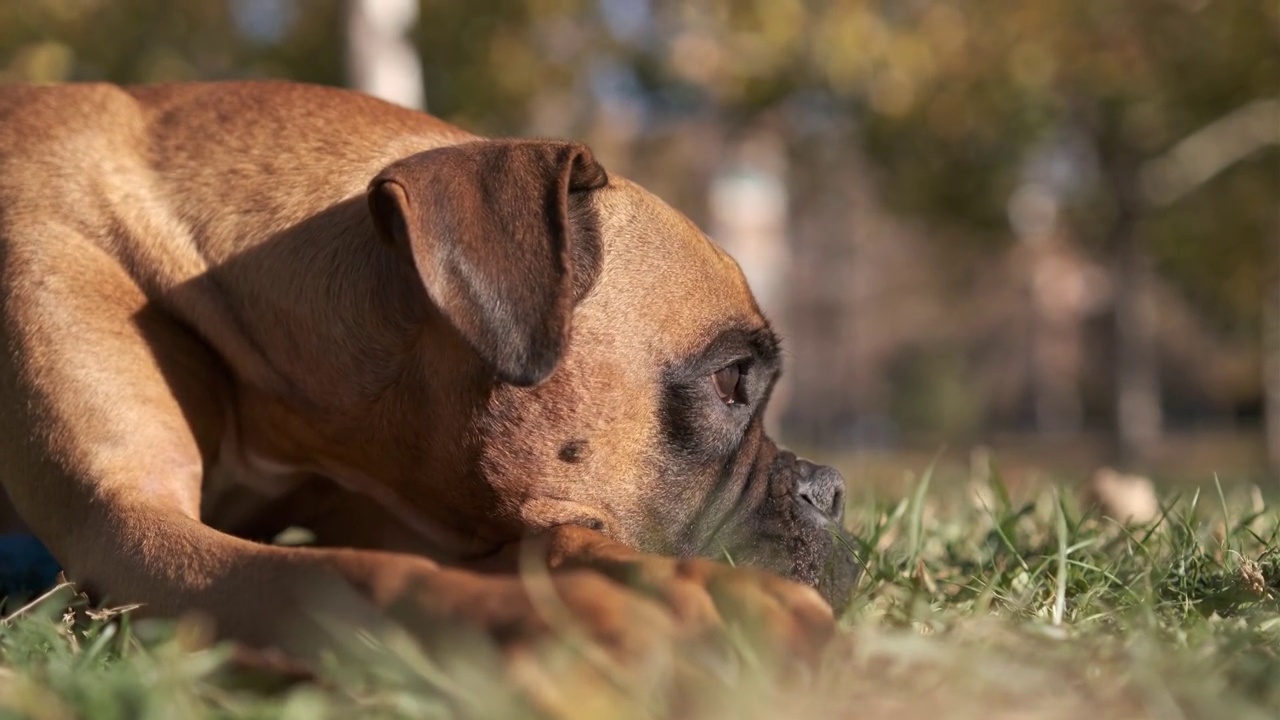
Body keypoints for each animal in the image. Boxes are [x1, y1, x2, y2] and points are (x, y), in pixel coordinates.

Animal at [0, 82, 860, 661]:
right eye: (731, 378)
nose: (830, 489)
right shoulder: (130, 528)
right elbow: (350, 579)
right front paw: (590, 624)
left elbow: (566, 543)